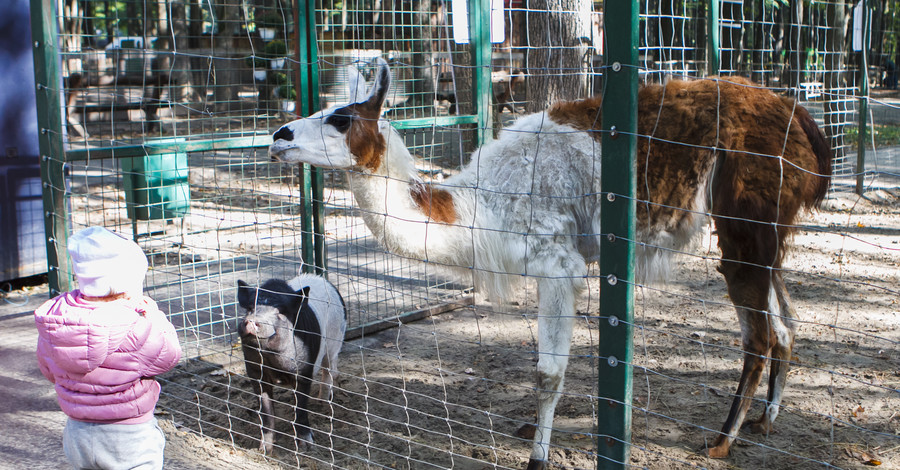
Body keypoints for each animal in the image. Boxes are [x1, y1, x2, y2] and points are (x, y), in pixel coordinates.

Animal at [236, 274, 348, 454]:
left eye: (280, 312)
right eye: (249, 309)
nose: (251, 321)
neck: (271, 359)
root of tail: (323, 279)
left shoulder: (303, 372)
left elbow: (301, 408)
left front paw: (308, 447)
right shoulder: (255, 372)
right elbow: (266, 412)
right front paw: (264, 450)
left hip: (335, 341)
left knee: (330, 371)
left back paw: (323, 403)